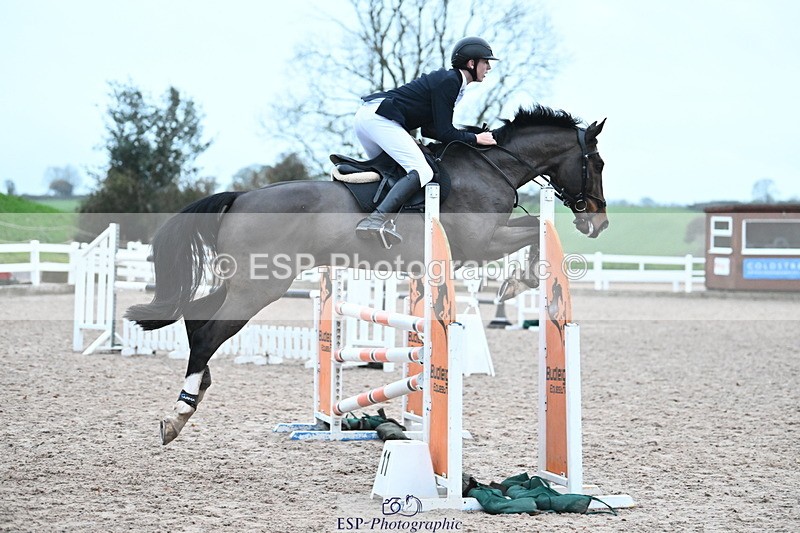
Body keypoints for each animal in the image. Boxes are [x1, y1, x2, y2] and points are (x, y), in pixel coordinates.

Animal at [125, 104, 608, 444]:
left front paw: (514, 280)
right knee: (209, 331)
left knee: (196, 320)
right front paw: (516, 281)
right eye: (597, 164)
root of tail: (241, 196)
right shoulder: (481, 241)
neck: (493, 168)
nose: (597, 223)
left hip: (242, 282)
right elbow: (535, 229)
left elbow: (535, 229)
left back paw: (193, 395)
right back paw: (178, 414)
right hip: (258, 287)